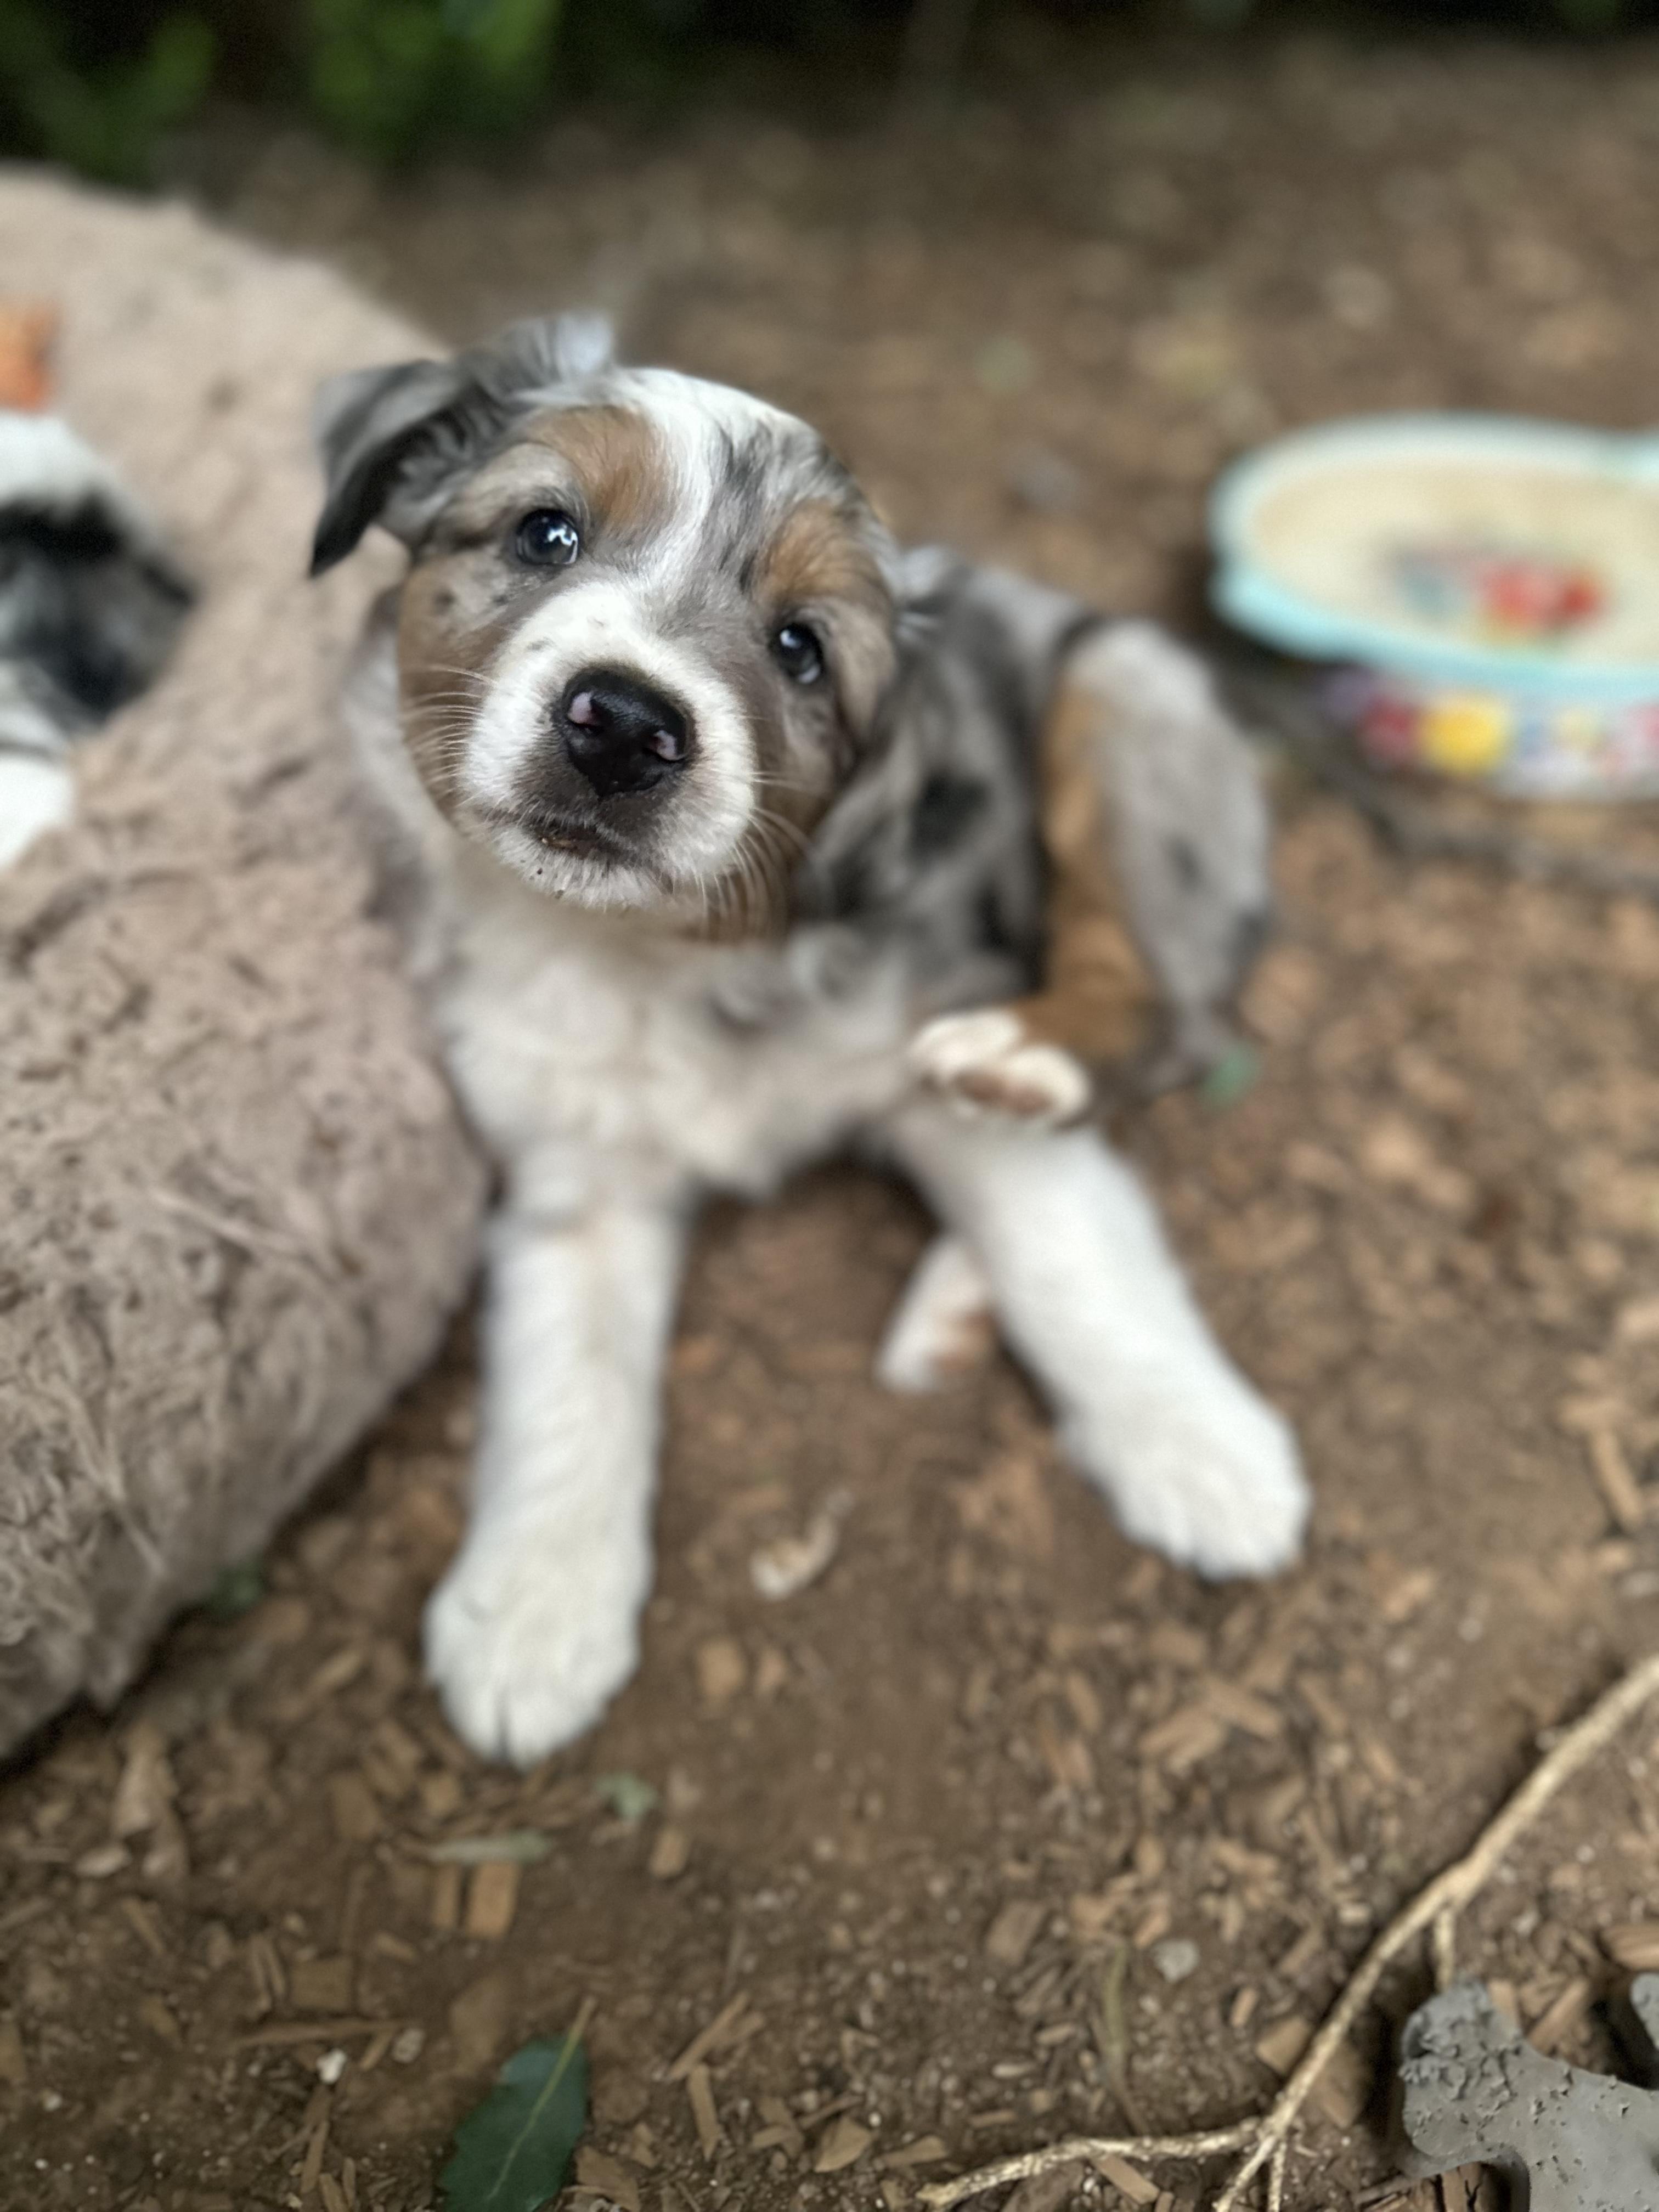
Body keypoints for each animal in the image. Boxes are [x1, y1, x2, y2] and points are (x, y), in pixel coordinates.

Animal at [310, 314, 1308, 1765]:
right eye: (546, 533)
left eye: (800, 648)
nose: (623, 725)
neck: (656, 953)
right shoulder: (574, 1173)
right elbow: (570, 1382)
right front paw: (535, 1616)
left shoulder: (922, 1032)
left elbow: (1070, 1251)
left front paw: (1203, 1449)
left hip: (1127, 699)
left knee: (1156, 1023)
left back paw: (1027, 1074)